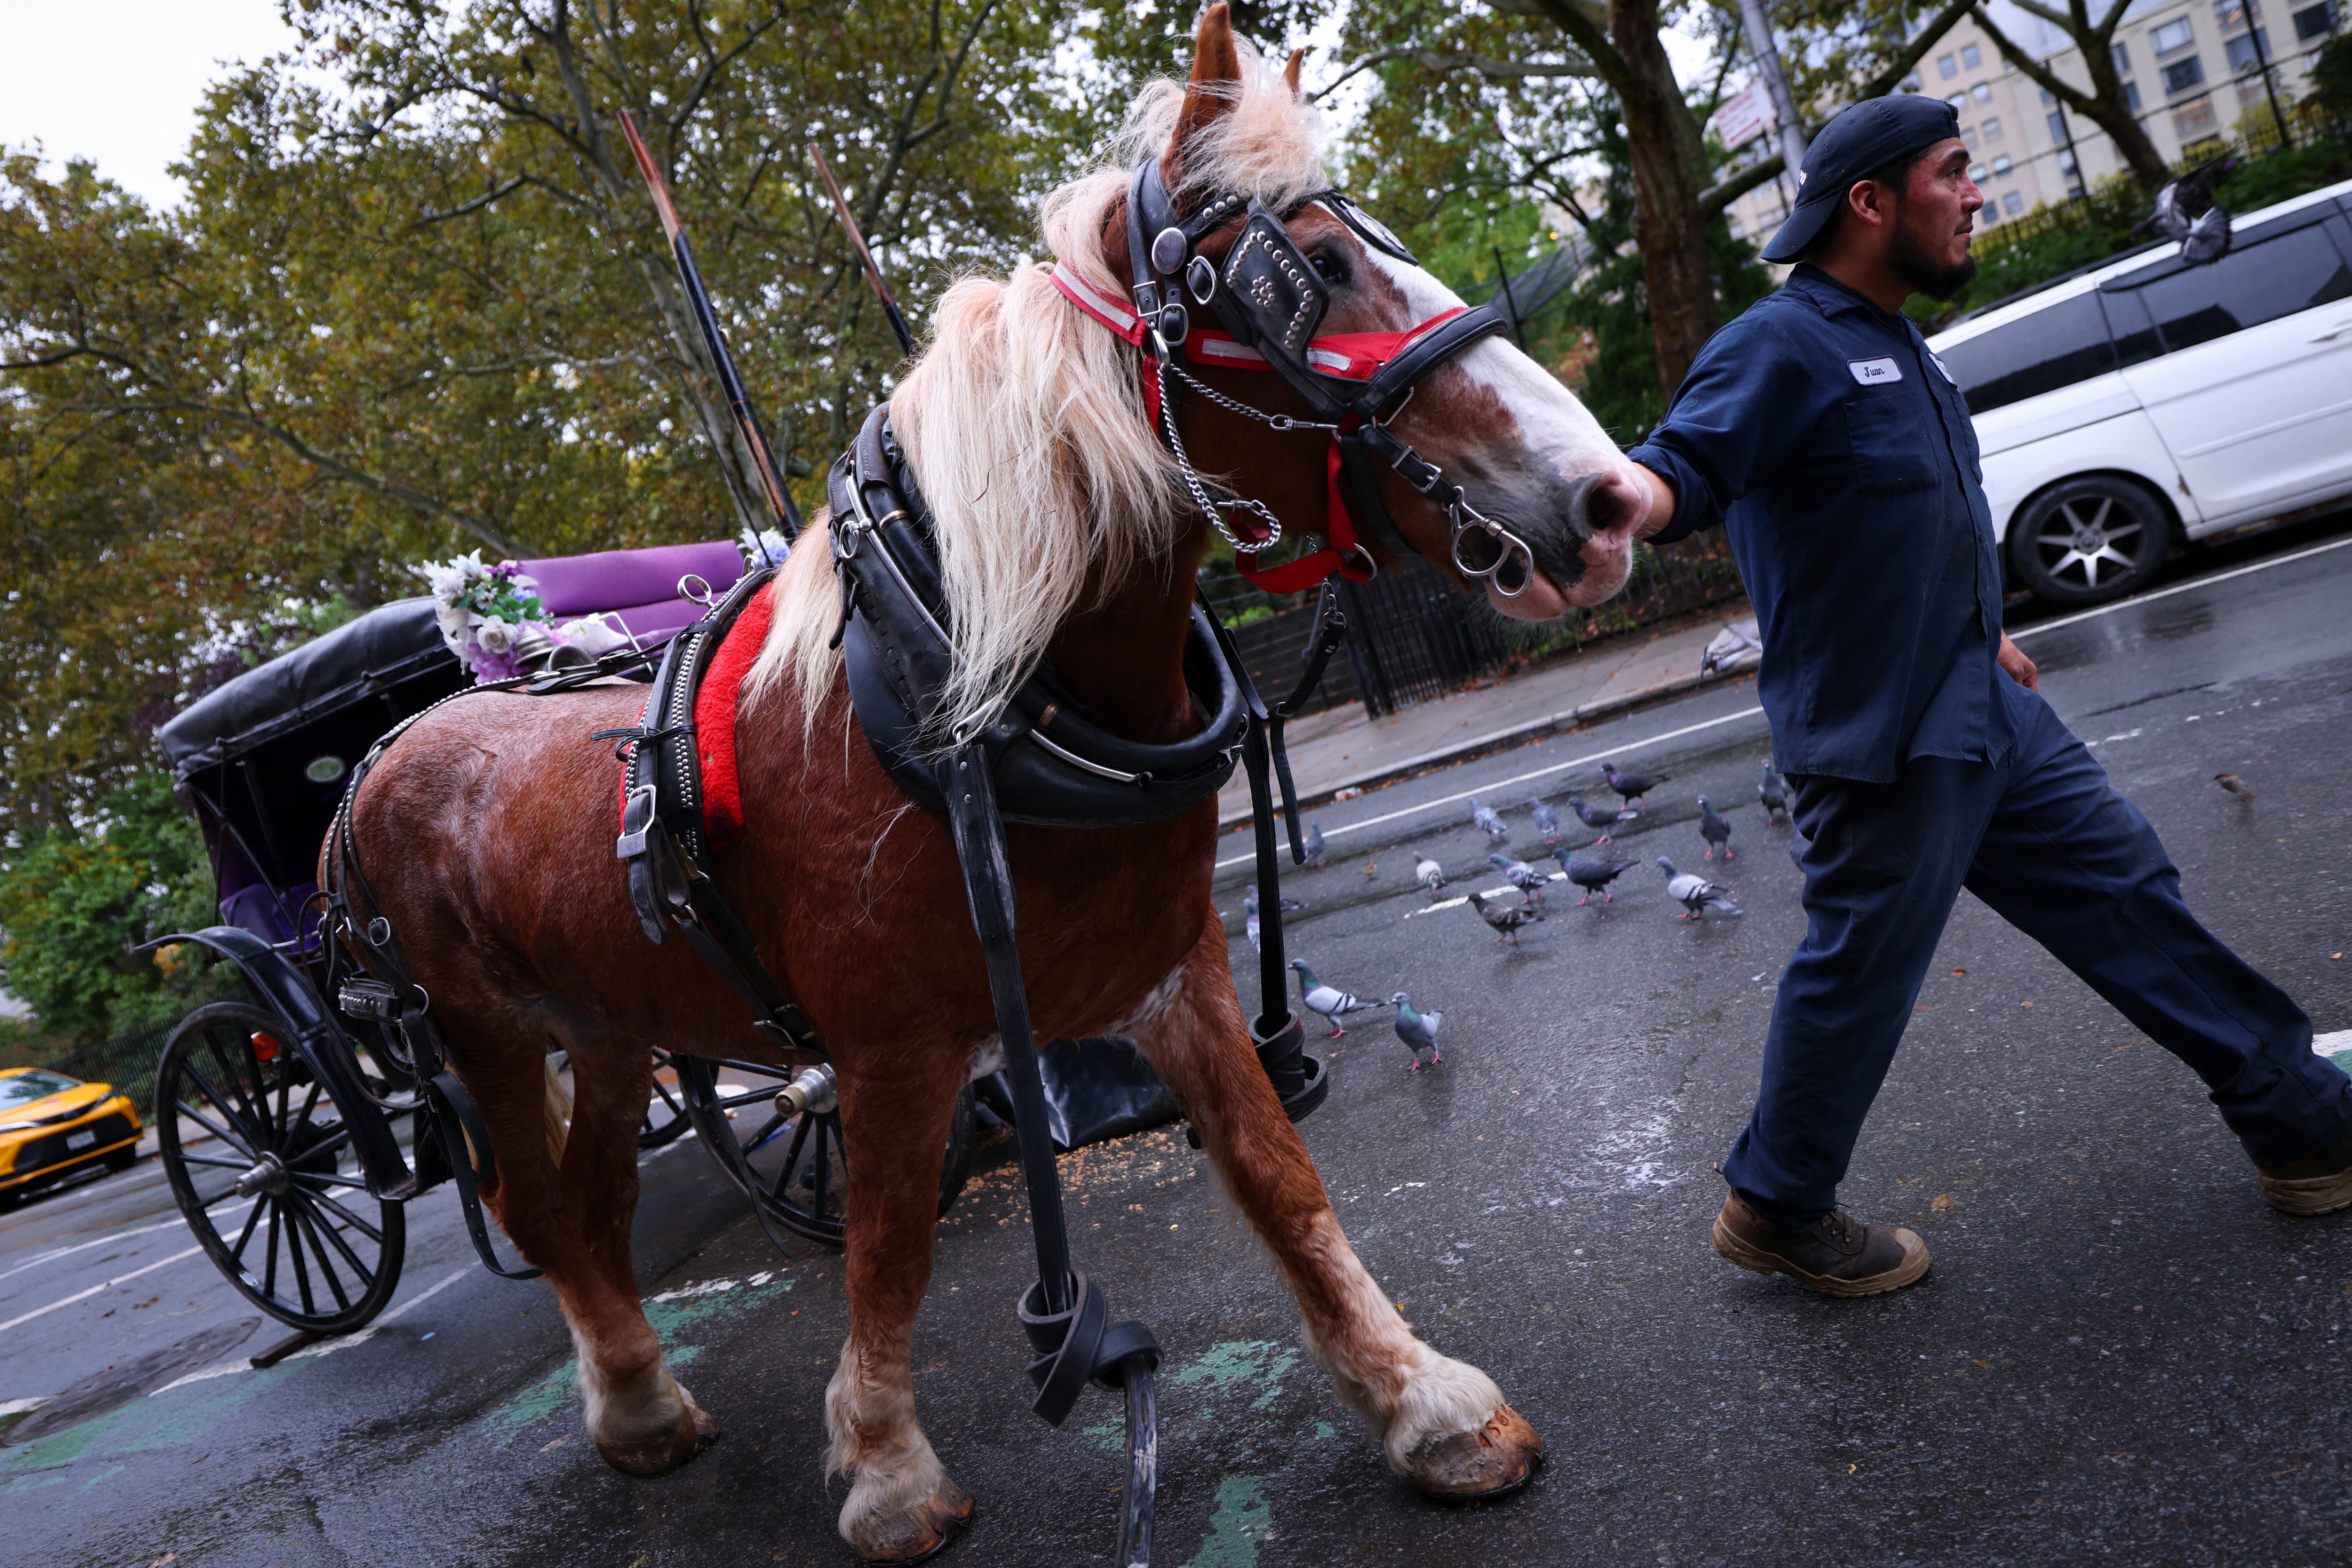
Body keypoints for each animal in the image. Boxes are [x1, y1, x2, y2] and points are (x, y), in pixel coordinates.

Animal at [335, 7, 1651, 1559]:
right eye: (1316, 269)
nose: (1616, 501)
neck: (975, 700)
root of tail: (396, 744)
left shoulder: (1177, 971)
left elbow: (1281, 1178)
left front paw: (1421, 1401)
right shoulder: (891, 1054)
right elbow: (890, 1250)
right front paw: (889, 1467)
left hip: (603, 1020)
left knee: (593, 1203)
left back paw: (640, 1388)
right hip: (482, 1028)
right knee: (536, 1207)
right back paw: (634, 1401)